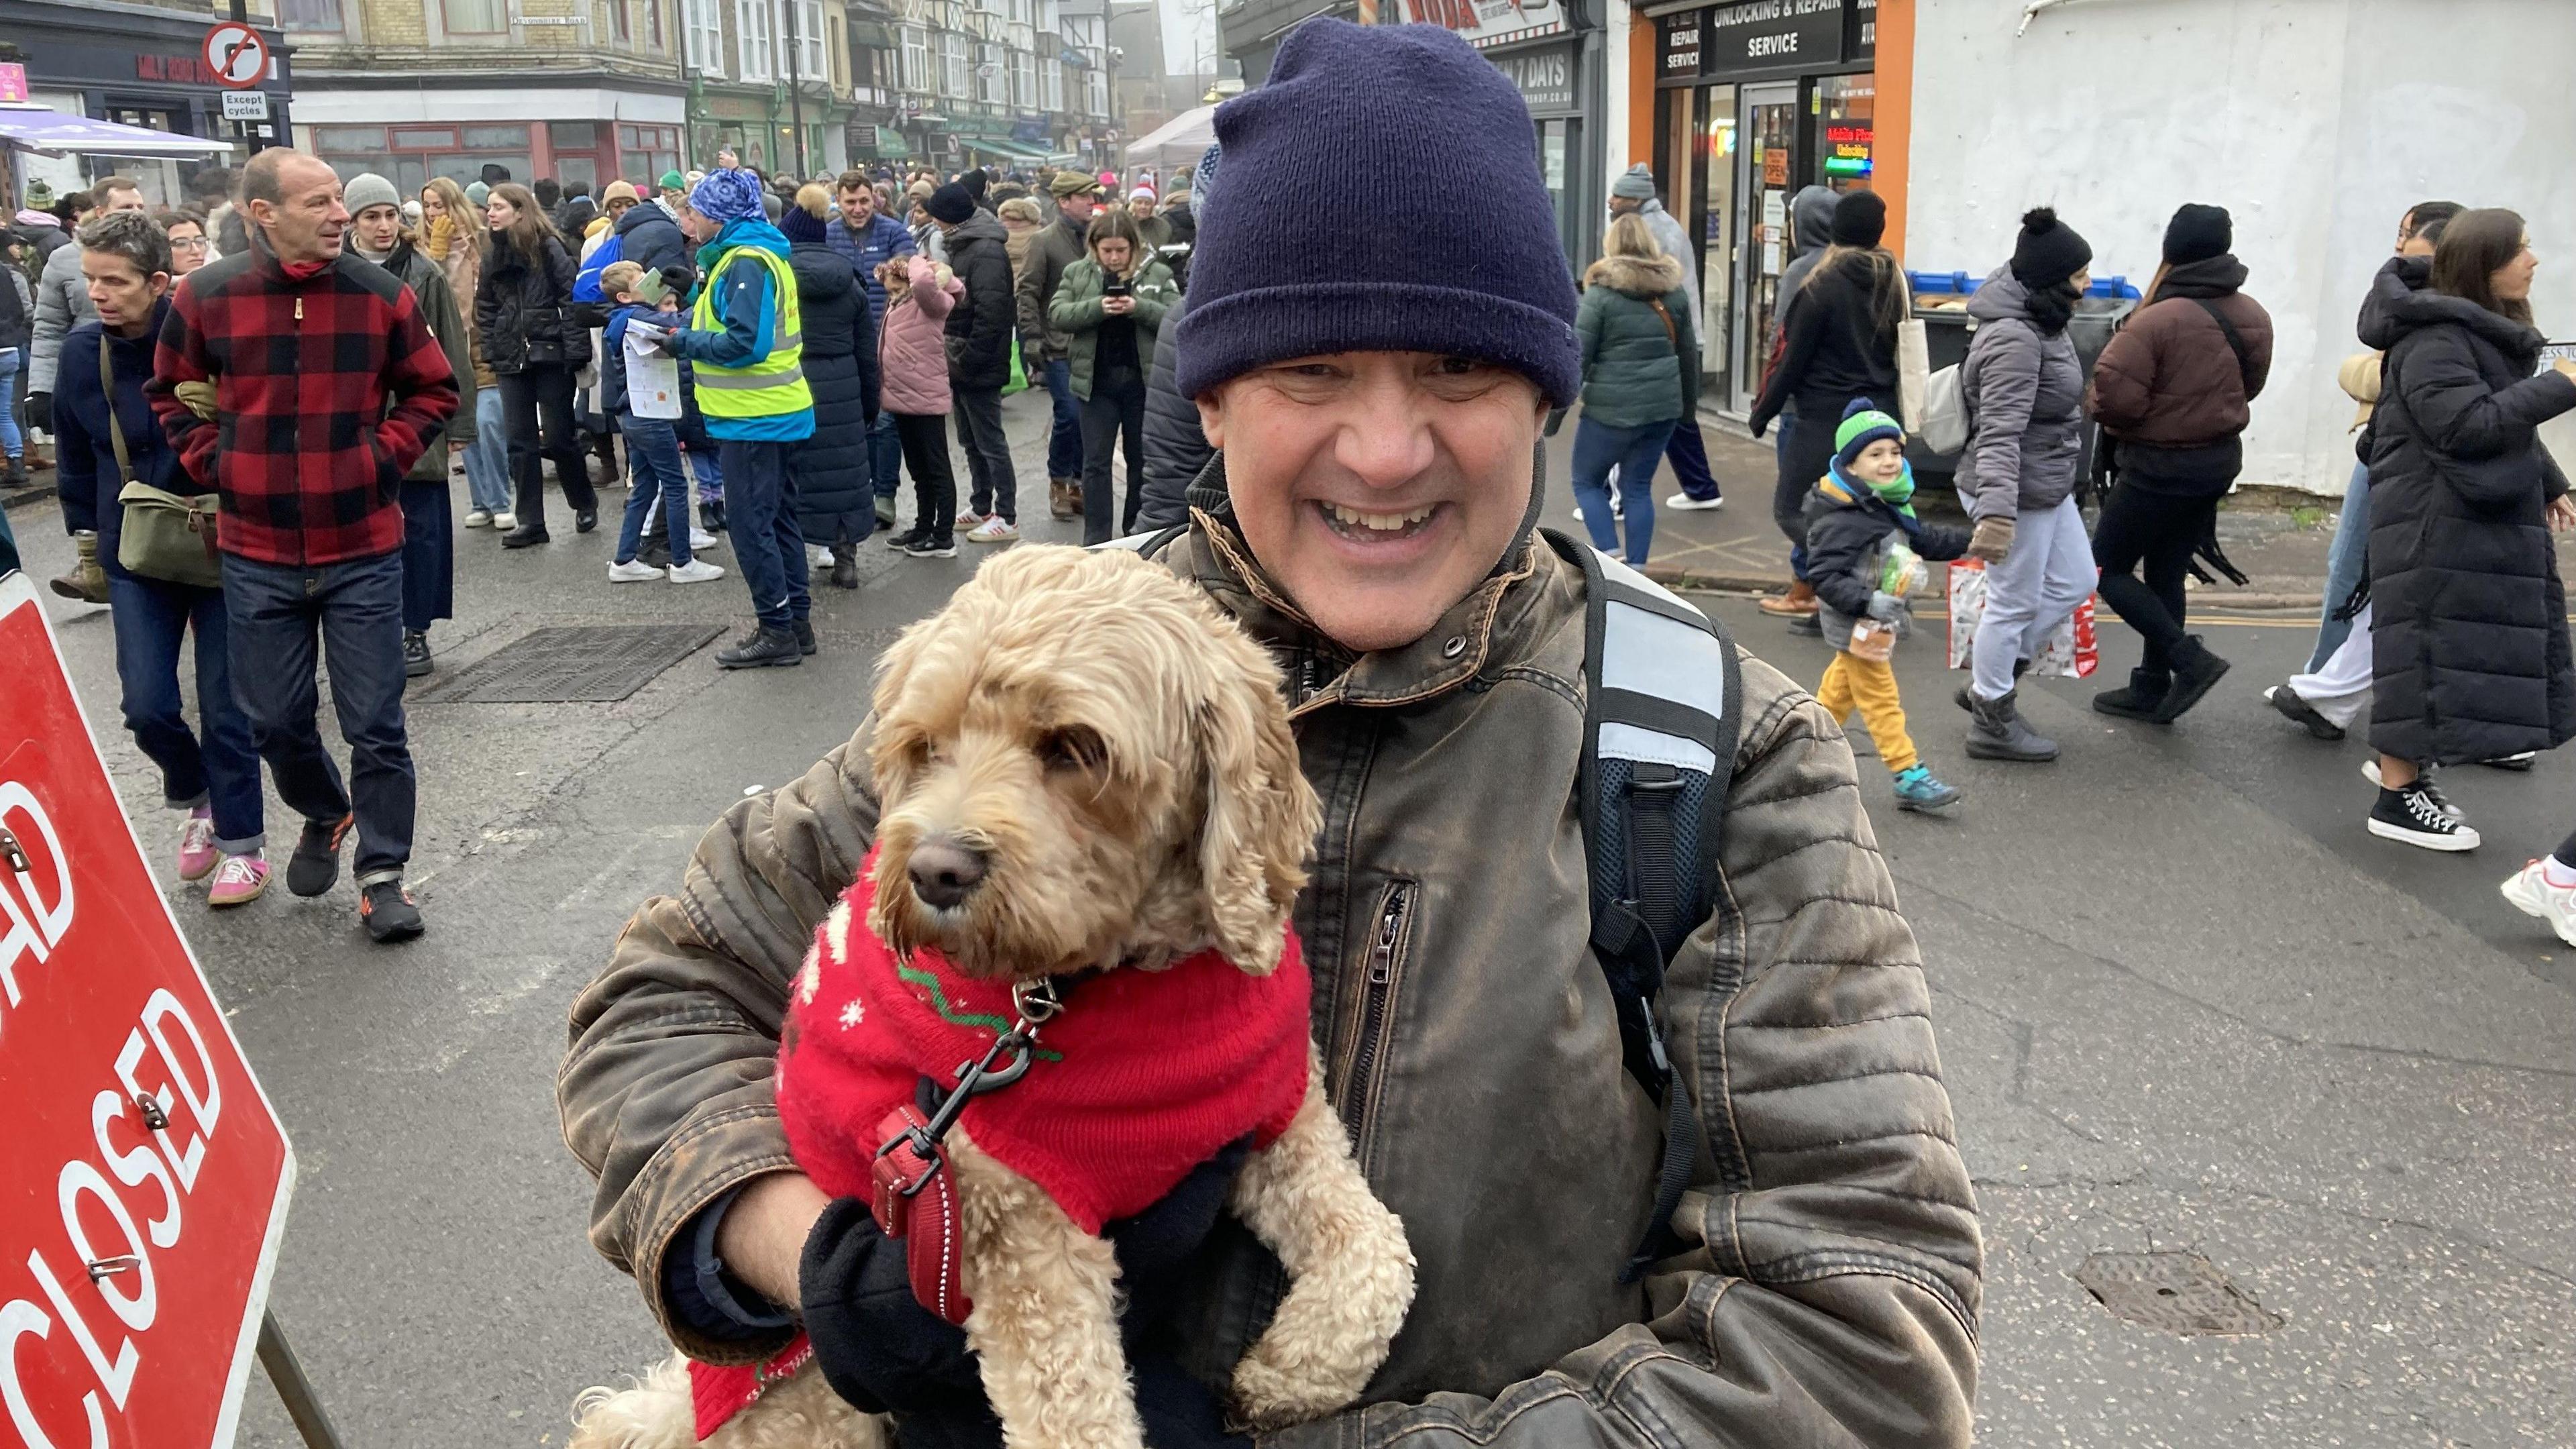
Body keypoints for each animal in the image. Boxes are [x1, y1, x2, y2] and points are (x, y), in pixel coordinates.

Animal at [577, 546, 1421, 1444]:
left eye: (1076, 746)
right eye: (925, 746)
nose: (933, 870)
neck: (1118, 982)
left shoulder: (1282, 1122)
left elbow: (1378, 1248)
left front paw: (1282, 1375)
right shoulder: (1018, 1230)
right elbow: (1077, 1421)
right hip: (811, 1405)